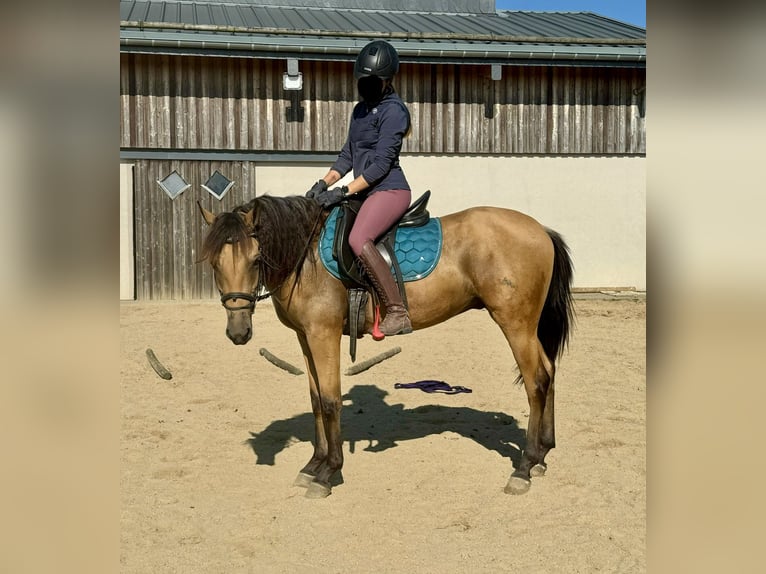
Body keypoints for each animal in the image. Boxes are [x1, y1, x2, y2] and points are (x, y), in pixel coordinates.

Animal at [200, 194, 576, 500]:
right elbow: (316, 399)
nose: (238, 332)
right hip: (527, 327)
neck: (306, 258)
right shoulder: (304, 337)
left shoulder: (323, 334)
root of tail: (540, 229)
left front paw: (328, 472)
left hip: (516, 324)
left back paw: (524, 467)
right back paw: (542, 455)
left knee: (536, 382)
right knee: (549, 373)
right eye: (215, 263)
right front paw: (313, 465)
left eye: (255, 259)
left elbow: (331, 400)